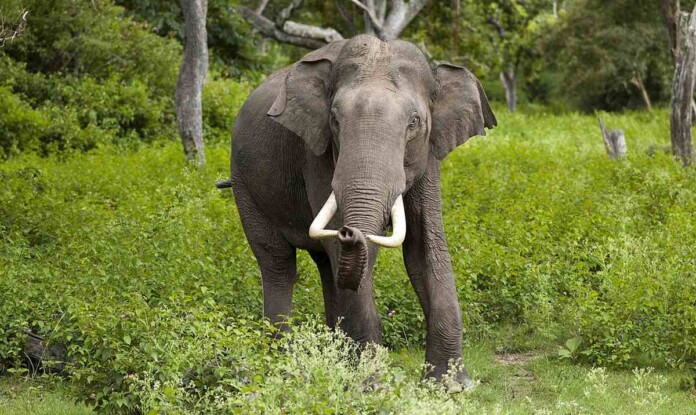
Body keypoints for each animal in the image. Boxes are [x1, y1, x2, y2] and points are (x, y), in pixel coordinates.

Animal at [222, 34, 496, 388]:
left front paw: (451, 386)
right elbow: (348, 252)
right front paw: (372, 386)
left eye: (414, 122)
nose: (350, 231)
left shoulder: (429, 154)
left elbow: (424, 248)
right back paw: (282, 365)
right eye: (335, 120)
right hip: (244, 184)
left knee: (326, 267)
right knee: (278, 263)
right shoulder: (316, 153)